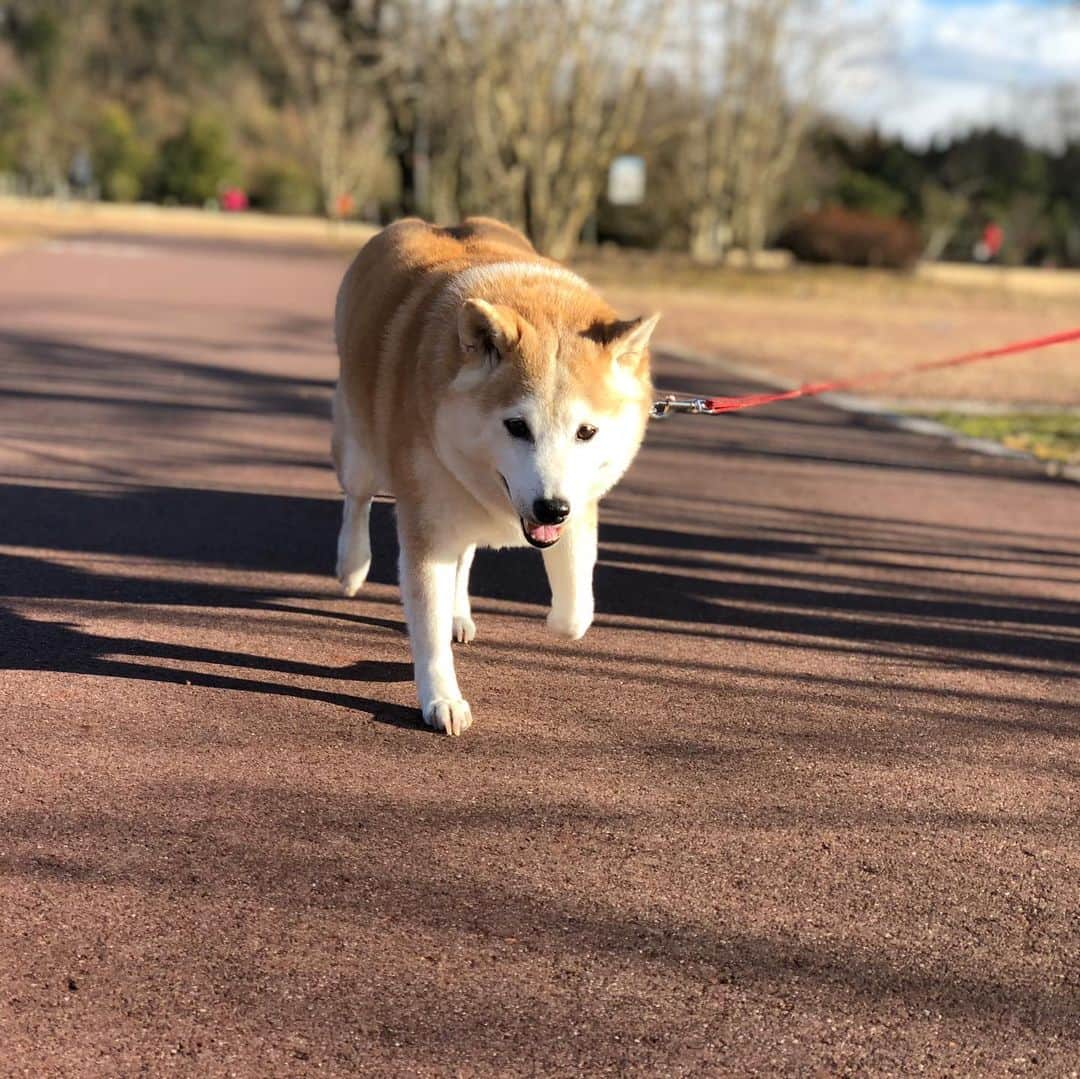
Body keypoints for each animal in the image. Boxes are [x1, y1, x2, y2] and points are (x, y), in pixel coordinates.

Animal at [330, 218, 656, 734]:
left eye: (587, 432)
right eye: (517, 426)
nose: (551, 508)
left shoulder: (579, 507)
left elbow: (576, 613)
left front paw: (554, 623)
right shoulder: (426, 525)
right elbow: (427, 629)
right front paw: (441, 698)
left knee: (464, 557)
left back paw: (459, 613)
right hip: (360, 445)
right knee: (357, 501)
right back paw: (352, 566)